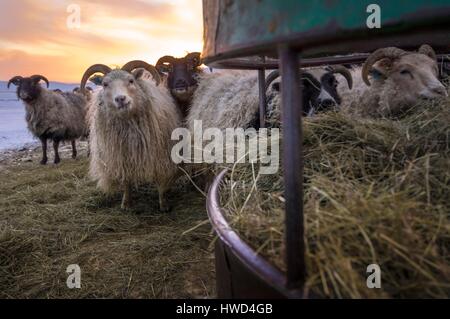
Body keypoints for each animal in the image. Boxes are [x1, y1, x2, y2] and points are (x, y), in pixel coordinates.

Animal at [80, 60, 182, 211]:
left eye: (131, 80)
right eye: (105, 84)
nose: (120, 99)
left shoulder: (160, 155)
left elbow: (160, 181)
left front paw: (163, 204)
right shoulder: (122, 158)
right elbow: (126, 181)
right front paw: (126, 203)